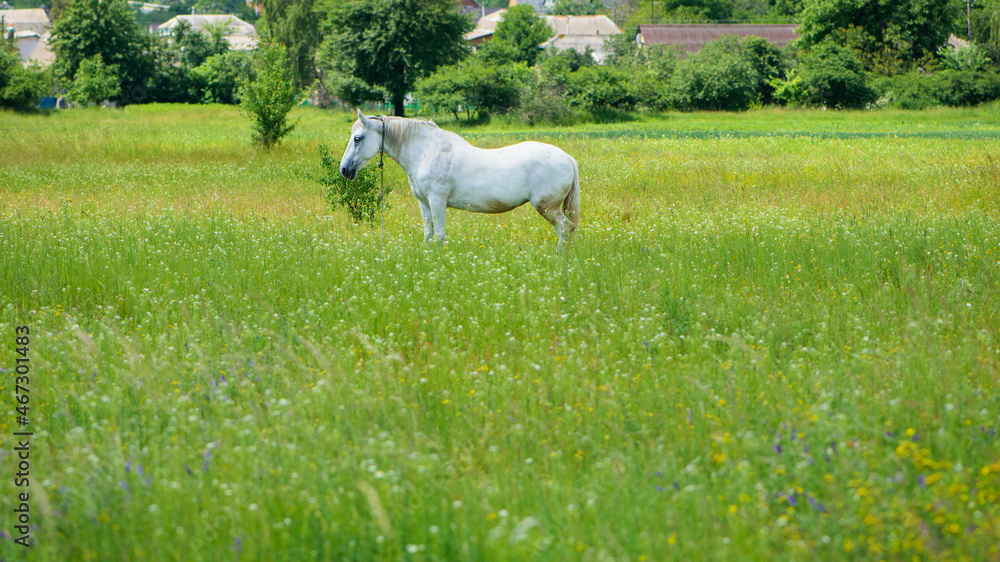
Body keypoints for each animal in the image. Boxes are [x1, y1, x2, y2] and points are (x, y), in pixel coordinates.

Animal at [339, 109, 580, 247]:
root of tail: (567, 157)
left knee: (565, 230)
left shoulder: (437, 201)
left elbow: (439, 235)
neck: (427, 152)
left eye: (358, 138)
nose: (344, 170)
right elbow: (428, 235)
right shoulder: (424, 203)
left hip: (547, 207)